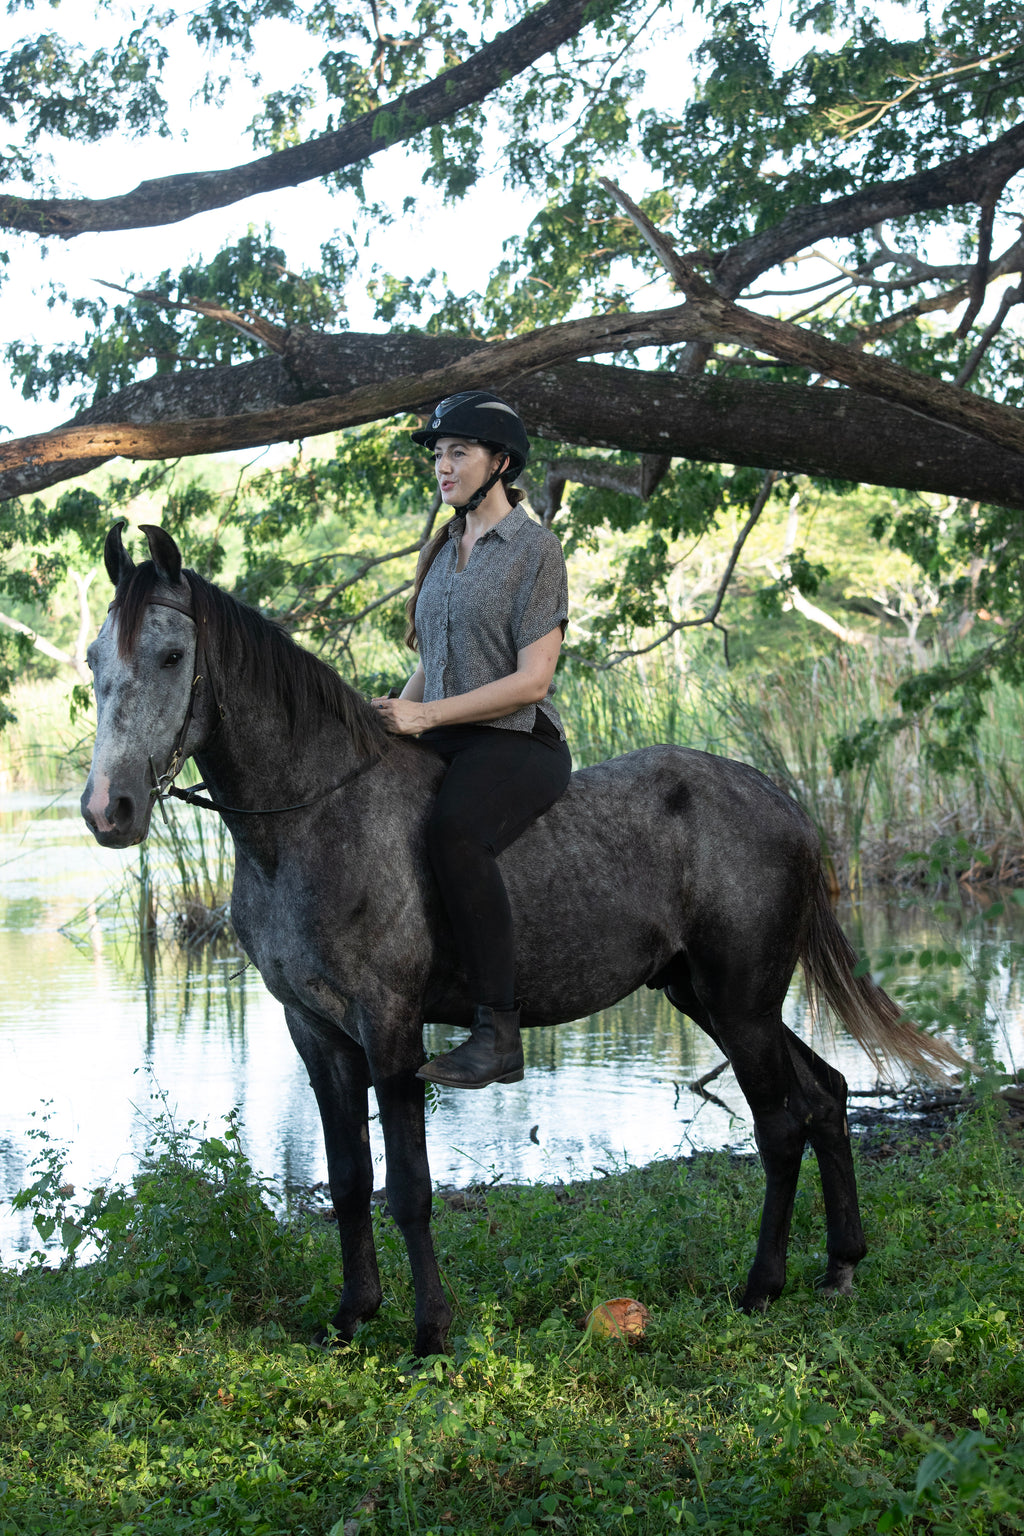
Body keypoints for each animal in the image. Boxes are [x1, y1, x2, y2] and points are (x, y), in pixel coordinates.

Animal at [81, 522, 961, 1356]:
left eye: (171, 656)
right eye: (93, 661)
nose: (106, 811)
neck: (312, 819)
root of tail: (782, 801)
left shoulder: (390, 1026)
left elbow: (409, 1188)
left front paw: (429, 1333)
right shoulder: (317, 1031)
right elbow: (347, 1179)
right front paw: (351, 1317)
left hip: (741, 1002)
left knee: (780, 1128)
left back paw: (760, 1288)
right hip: (711, 996)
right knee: (826, 1097)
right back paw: (841, 1264)